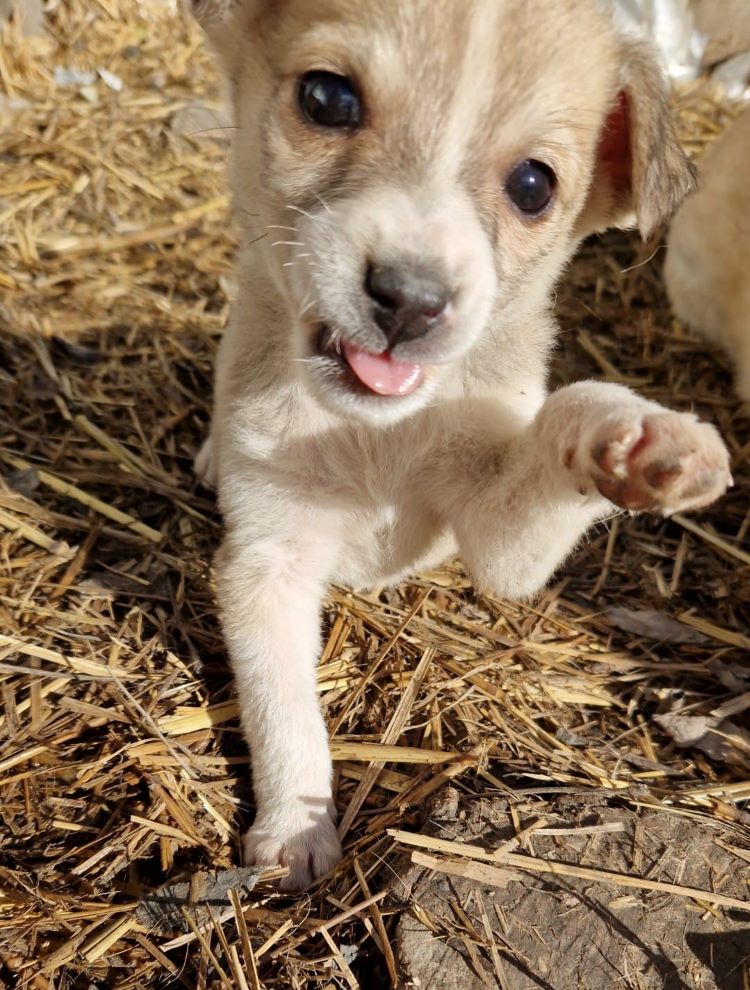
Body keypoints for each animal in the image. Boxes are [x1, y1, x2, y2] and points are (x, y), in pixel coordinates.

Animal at [189, 0, 736, 892]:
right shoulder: (266, 562)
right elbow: (283, 710)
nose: (409, 299)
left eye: (533, 185)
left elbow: (565, 420)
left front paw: (643, 438)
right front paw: (295, 834)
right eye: (327, 99)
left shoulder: (497, 542)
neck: (372, 435)